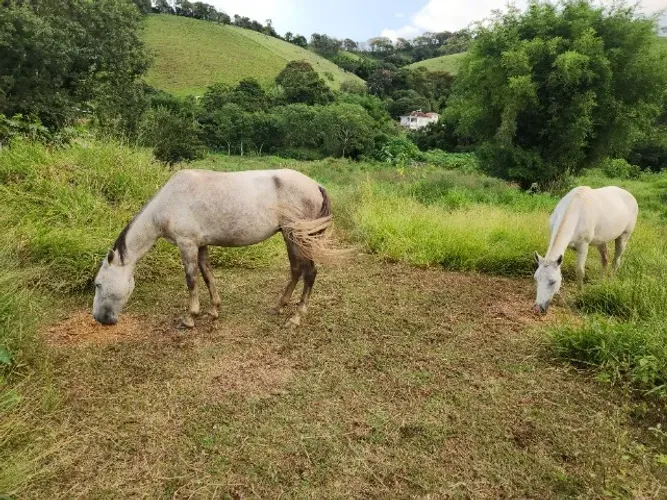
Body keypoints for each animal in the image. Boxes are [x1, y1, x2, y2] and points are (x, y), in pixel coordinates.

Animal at [93, 168, 341, 329]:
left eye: (98, 284)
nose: (99, 318)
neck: (169, 203)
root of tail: (316, 185)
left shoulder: (187, 244)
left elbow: (191, 280)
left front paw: (189, 318)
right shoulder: (201, 245)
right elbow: (207, 275)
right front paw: (213, 310)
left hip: (298, 238)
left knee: (309, 273)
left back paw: (296, 318)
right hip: (290, 238)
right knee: (296, 270)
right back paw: (278, 307)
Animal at [533, 186, 638, 314]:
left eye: (553, 281)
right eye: (536, 279)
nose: (539, 308)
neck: (576, 210)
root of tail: (630, 195)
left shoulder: (583, 247)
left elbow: (580, 271)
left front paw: (580, 293)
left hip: (623, 237)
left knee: (616, 261)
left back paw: (611, 281)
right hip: (601, 241)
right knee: (605, 260)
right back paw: (601, 283)